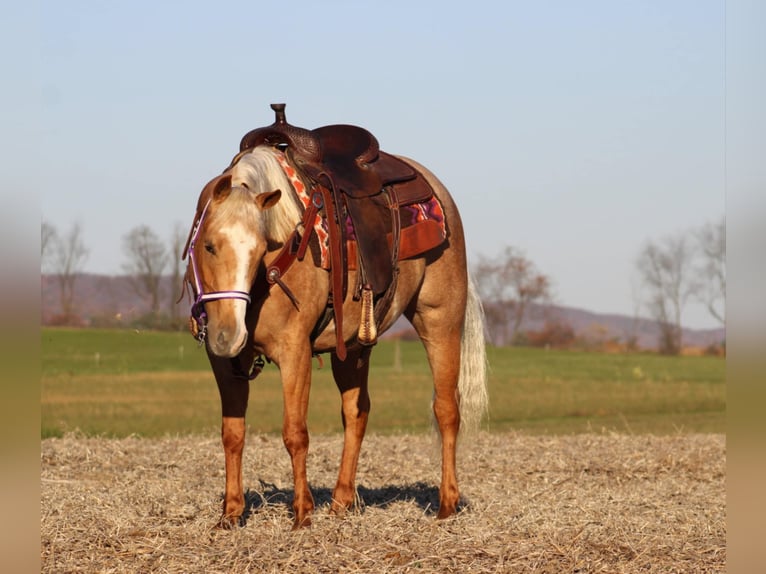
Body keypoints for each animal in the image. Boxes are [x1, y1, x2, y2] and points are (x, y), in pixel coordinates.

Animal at [183, 142, 488, 532]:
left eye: (259, 250)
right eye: (208, 246)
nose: (228, 334)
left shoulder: (295, 353)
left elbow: (295, 433)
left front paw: (302, 513)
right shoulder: (224, 363)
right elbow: (232, 434)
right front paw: (231, 513)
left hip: (439, 321)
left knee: (447, 409)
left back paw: (446, 504)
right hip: (355, 348)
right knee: (356, 413)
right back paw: (342, 500)